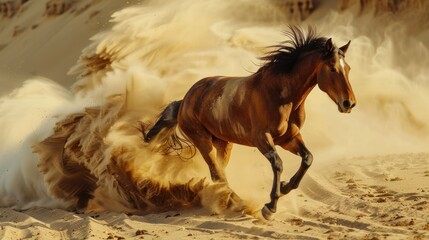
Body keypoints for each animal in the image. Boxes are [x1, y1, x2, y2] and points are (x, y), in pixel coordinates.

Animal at [142, 26, 356, 219]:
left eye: (348, 69)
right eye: (332, 68)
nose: (349, 103)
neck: (281, 95)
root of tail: (185, 100)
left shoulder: (289, 138)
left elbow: (308, 158)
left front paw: (285, 187)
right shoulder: (262, 139)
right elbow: (278, 164)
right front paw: (270, 207)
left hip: (224, 143)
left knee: (221, 173)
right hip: (202, 141)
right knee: (217, 174)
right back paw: (240, 203)